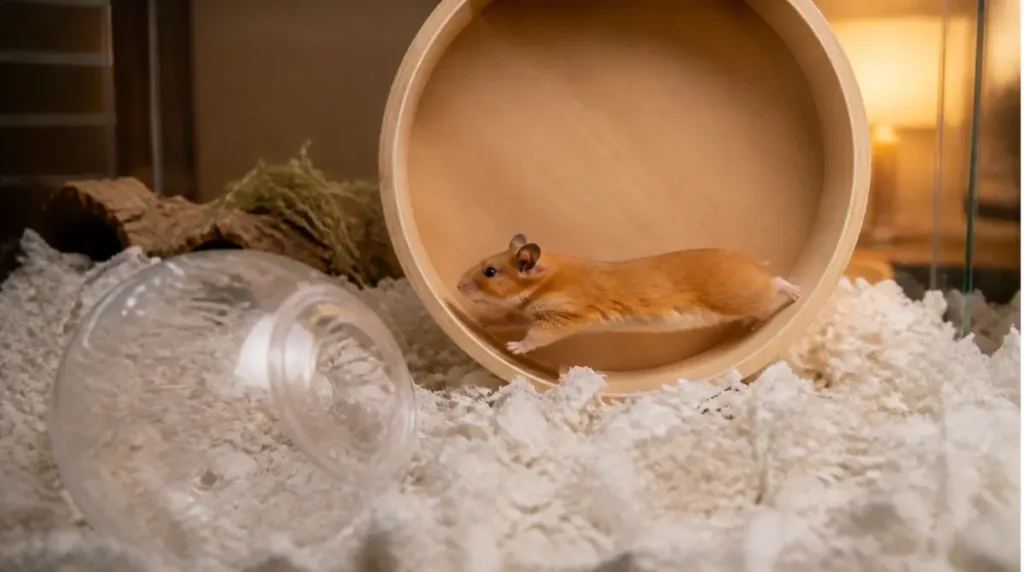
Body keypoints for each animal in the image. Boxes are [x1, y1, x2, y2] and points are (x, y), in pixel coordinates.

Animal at [455, 233, 802, 356]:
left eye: (490, 272)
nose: (457, 286)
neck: (543, 282)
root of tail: (753, 263)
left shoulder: (563, 318)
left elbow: (534, 337)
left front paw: (513, 348)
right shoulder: (522, 313)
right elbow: (503, 319)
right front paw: (481, 322)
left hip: (741, 296)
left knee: (777, 283)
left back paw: (796, 294)